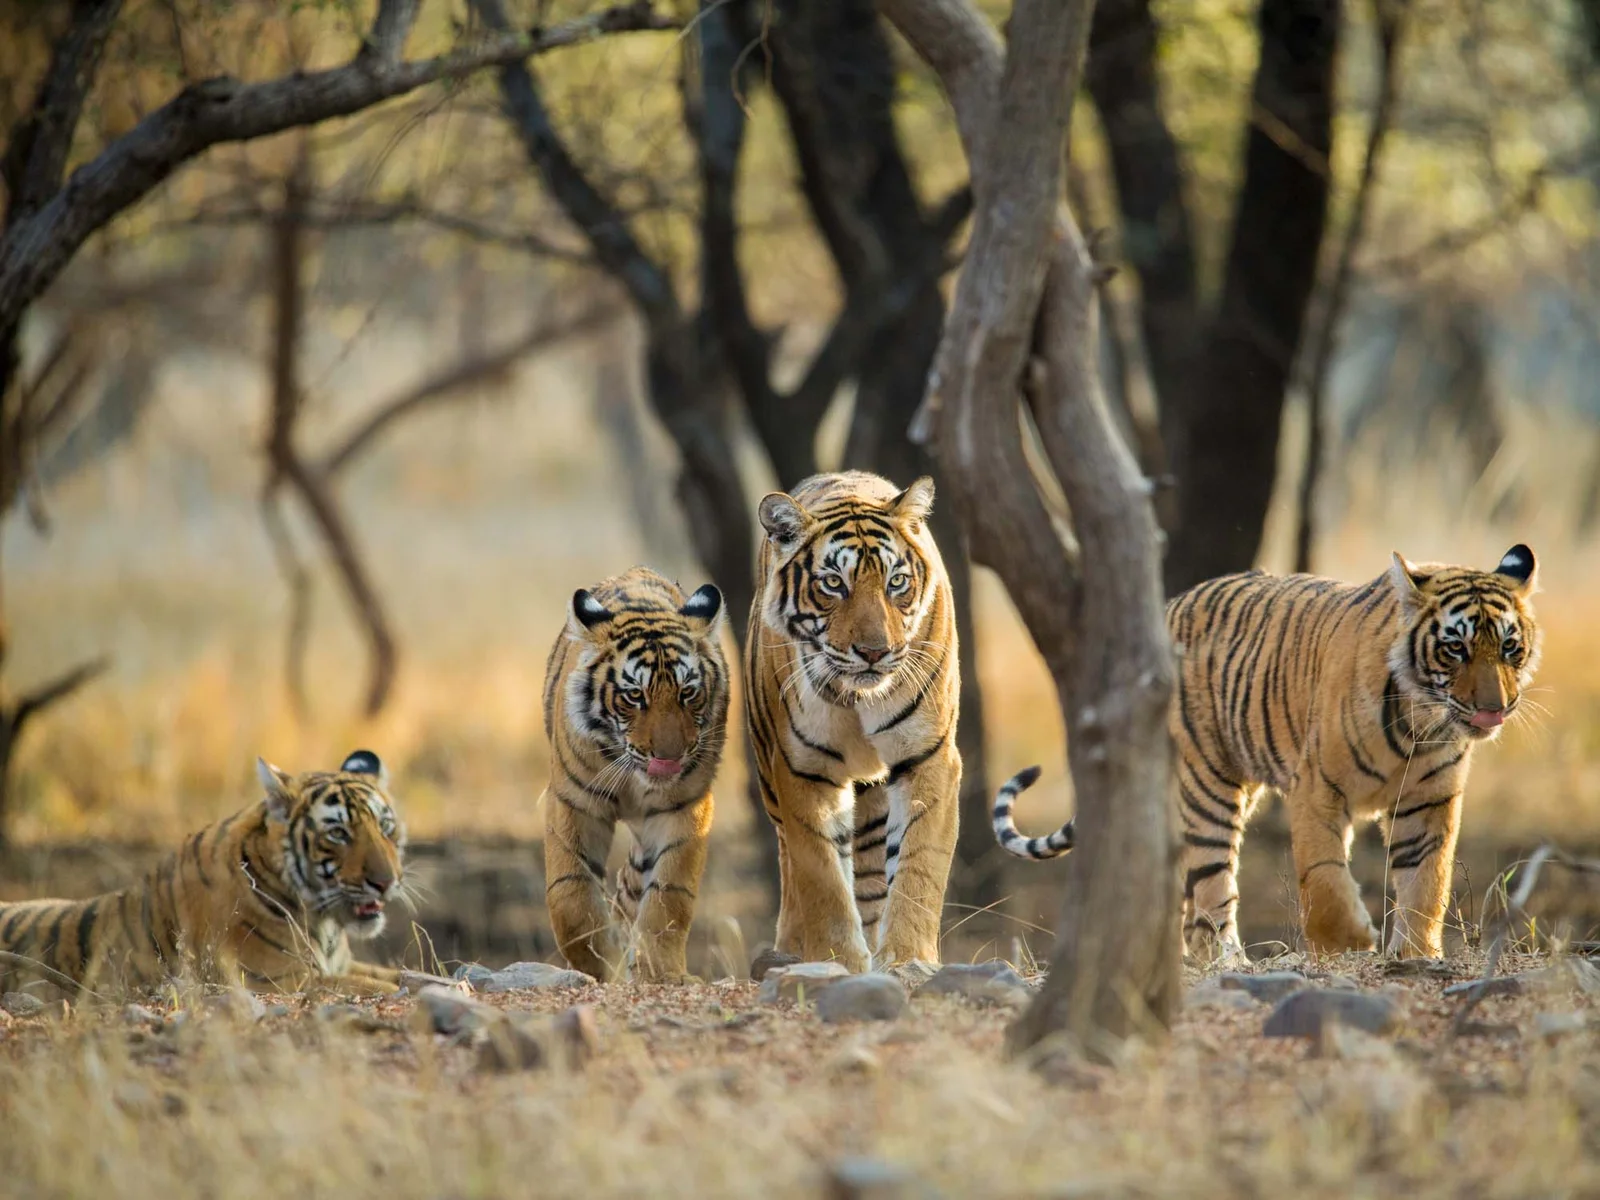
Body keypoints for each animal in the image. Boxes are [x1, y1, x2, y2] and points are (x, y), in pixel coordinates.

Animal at [0, 752, 406, 1004]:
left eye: (385, 827)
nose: (386, 882)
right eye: (338, 833)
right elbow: (378, 985)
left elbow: (399, 974)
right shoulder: (279, 978)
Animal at [544, 569, 732, 979]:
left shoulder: (684, 806)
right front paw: (601, 967)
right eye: (634, 696)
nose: (669, 758)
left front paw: (659, 971)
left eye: (688, 692)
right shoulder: (574, 803)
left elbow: (669, 895)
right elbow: (570, 897)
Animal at [742, 473, 953, 979]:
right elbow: (822, 877)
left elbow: (918, 865)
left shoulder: (928, 756)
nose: (875, 652)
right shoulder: (803, 769)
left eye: (897, 582)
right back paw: (788, 949)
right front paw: (836, 960)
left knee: (874, 873)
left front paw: (909, 958)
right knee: (791, 866)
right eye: (834, 584)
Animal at [998, 550, 1536, 966]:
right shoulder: (1317, 788)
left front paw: (1417, 954)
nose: (1495, 708)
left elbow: (1428, 881)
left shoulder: (1428, 801)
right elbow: (1323, 876)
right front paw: (1347, 944)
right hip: (1207, 785)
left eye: (1510, 647)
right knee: (1211, 887)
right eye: (1455, 648)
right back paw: (1226, 961)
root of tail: (1167, 607)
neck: (1420, 722)